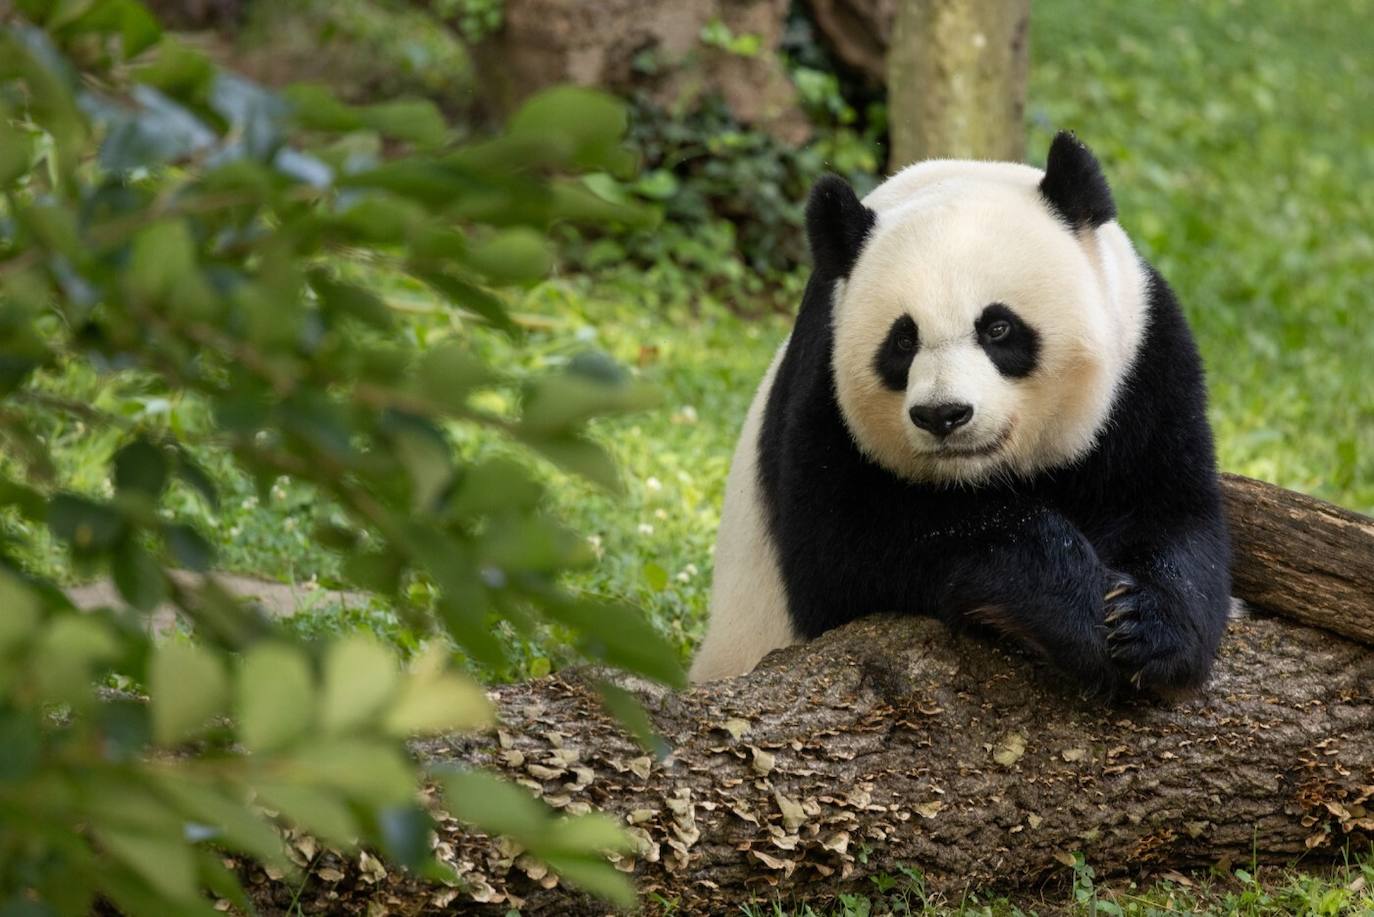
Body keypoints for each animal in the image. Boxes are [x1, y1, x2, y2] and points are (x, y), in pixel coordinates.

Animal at [697, 132, 1236, 695]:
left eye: (998, 328)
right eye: (902, 340)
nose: (942, 414)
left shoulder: (1145, 363)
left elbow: (1171, 508)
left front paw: (1146, 630)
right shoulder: (823, 389)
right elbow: (844, 552)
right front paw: (1077, 610)